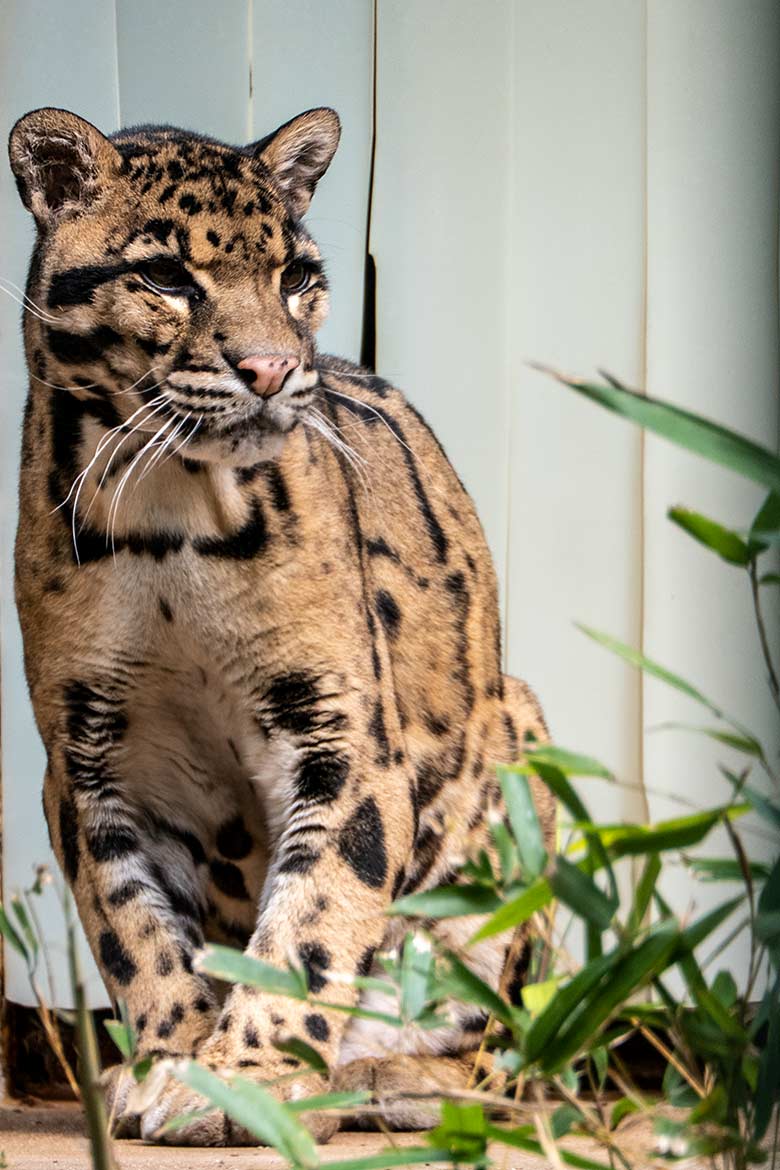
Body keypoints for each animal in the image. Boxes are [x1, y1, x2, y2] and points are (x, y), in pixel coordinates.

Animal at [7, 105, 554, 1146]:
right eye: (166, 276)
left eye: (297, 278)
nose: (271, 368)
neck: (171, 523)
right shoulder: (87, 755)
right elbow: (134, 928)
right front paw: (176, 1061)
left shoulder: (343, 732)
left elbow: (313, 913)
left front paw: (247, 1079)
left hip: (521, 747)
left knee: (511, 1051)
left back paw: (384, 1077)